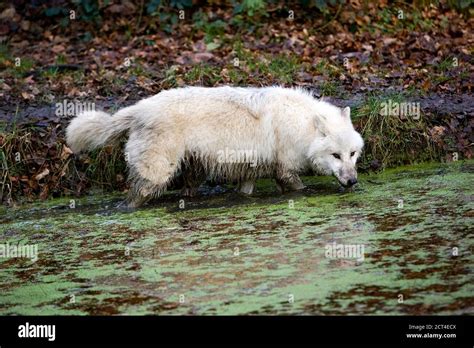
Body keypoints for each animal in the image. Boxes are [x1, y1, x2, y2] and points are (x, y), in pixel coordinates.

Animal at [66, 86, 362, 207]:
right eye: (335, 155)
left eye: (352, 153)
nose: (352, 181)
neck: (302, 123)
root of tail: (139, 109)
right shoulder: (284, 168)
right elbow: (298, 186)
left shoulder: (251, 170)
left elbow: (245, 191)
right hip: (158, 172)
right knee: (137, 195)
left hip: (192, 169)